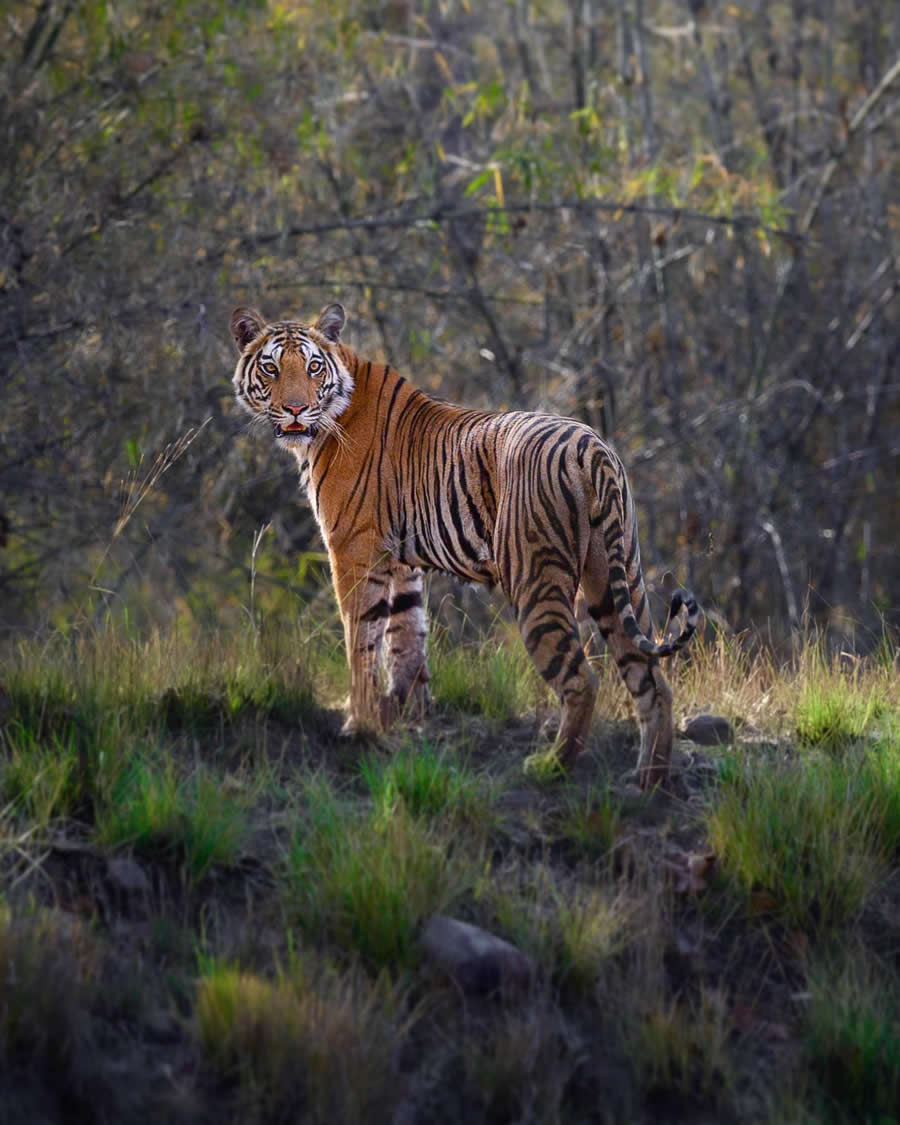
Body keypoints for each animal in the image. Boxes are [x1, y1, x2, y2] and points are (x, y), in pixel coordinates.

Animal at [230, 303, 697, 787]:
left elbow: (361, 639)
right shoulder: (402, 564)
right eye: (271, 367)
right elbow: (406, 638)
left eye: (313, 367)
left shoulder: (354, 551)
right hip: (615, 575)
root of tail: (592, 448)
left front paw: (359, 724)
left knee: (581, 680)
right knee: (652, 679)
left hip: (536, 582)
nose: (296, 409)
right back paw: (650, 780)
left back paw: (552, 766)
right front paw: (405, 718)